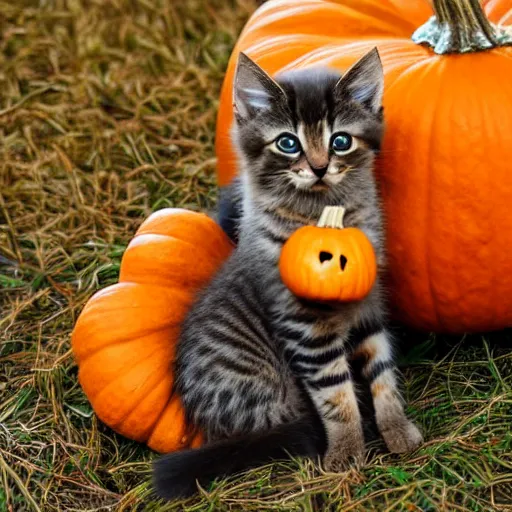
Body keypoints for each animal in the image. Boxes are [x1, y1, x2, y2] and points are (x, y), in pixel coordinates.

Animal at [153, 49, 424, 500]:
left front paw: (395, 427)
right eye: (287, 143)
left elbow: (383, 374)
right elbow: (337, 396)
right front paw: (347, 452)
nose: (318, 167)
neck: (326, 216)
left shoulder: (369, 309)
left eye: (340, 141)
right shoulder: (305, 330)